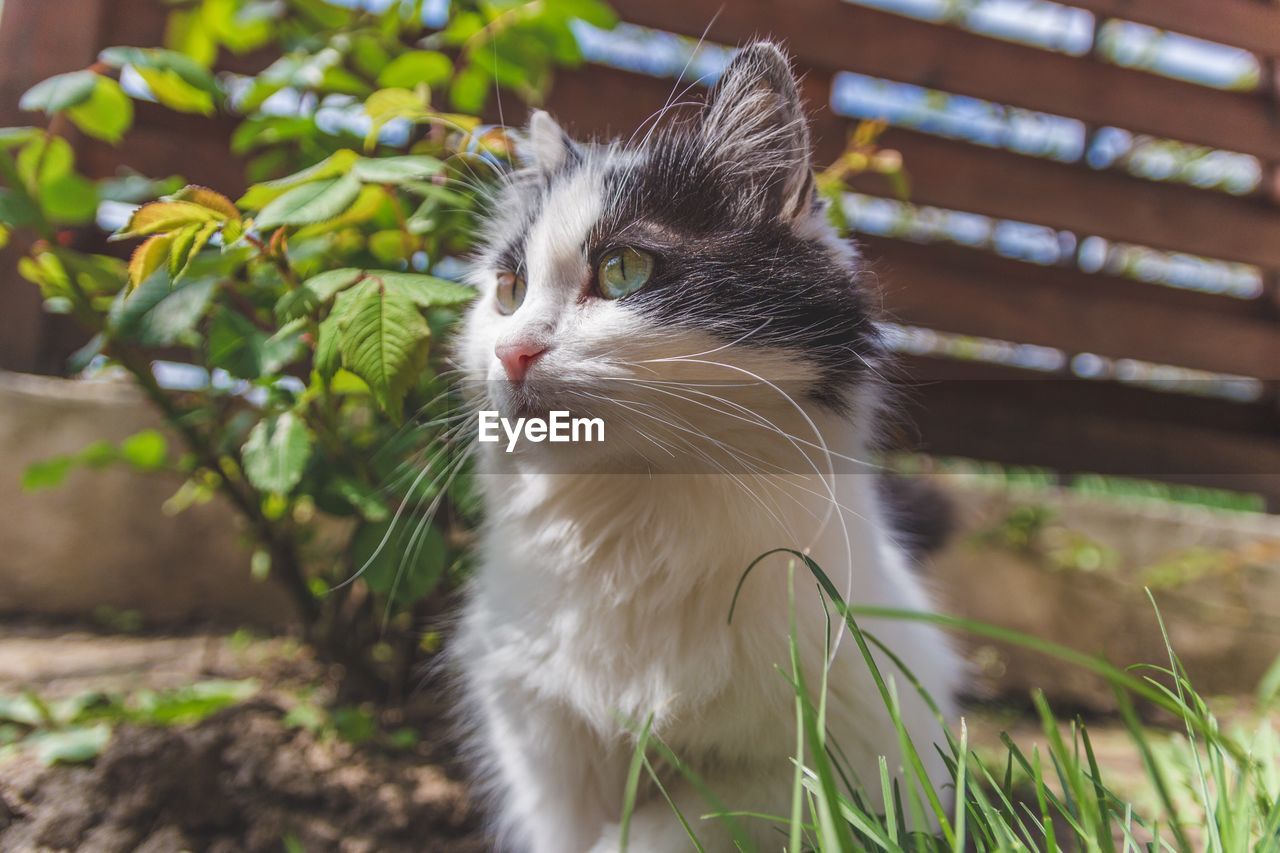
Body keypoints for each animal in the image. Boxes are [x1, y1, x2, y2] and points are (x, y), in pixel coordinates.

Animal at [450, 43, 962, 850]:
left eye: (624, 271)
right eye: (508, 291)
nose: (511, 353)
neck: (628, 527)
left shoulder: (815, 767)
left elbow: (677, 823)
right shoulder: (539, 750)